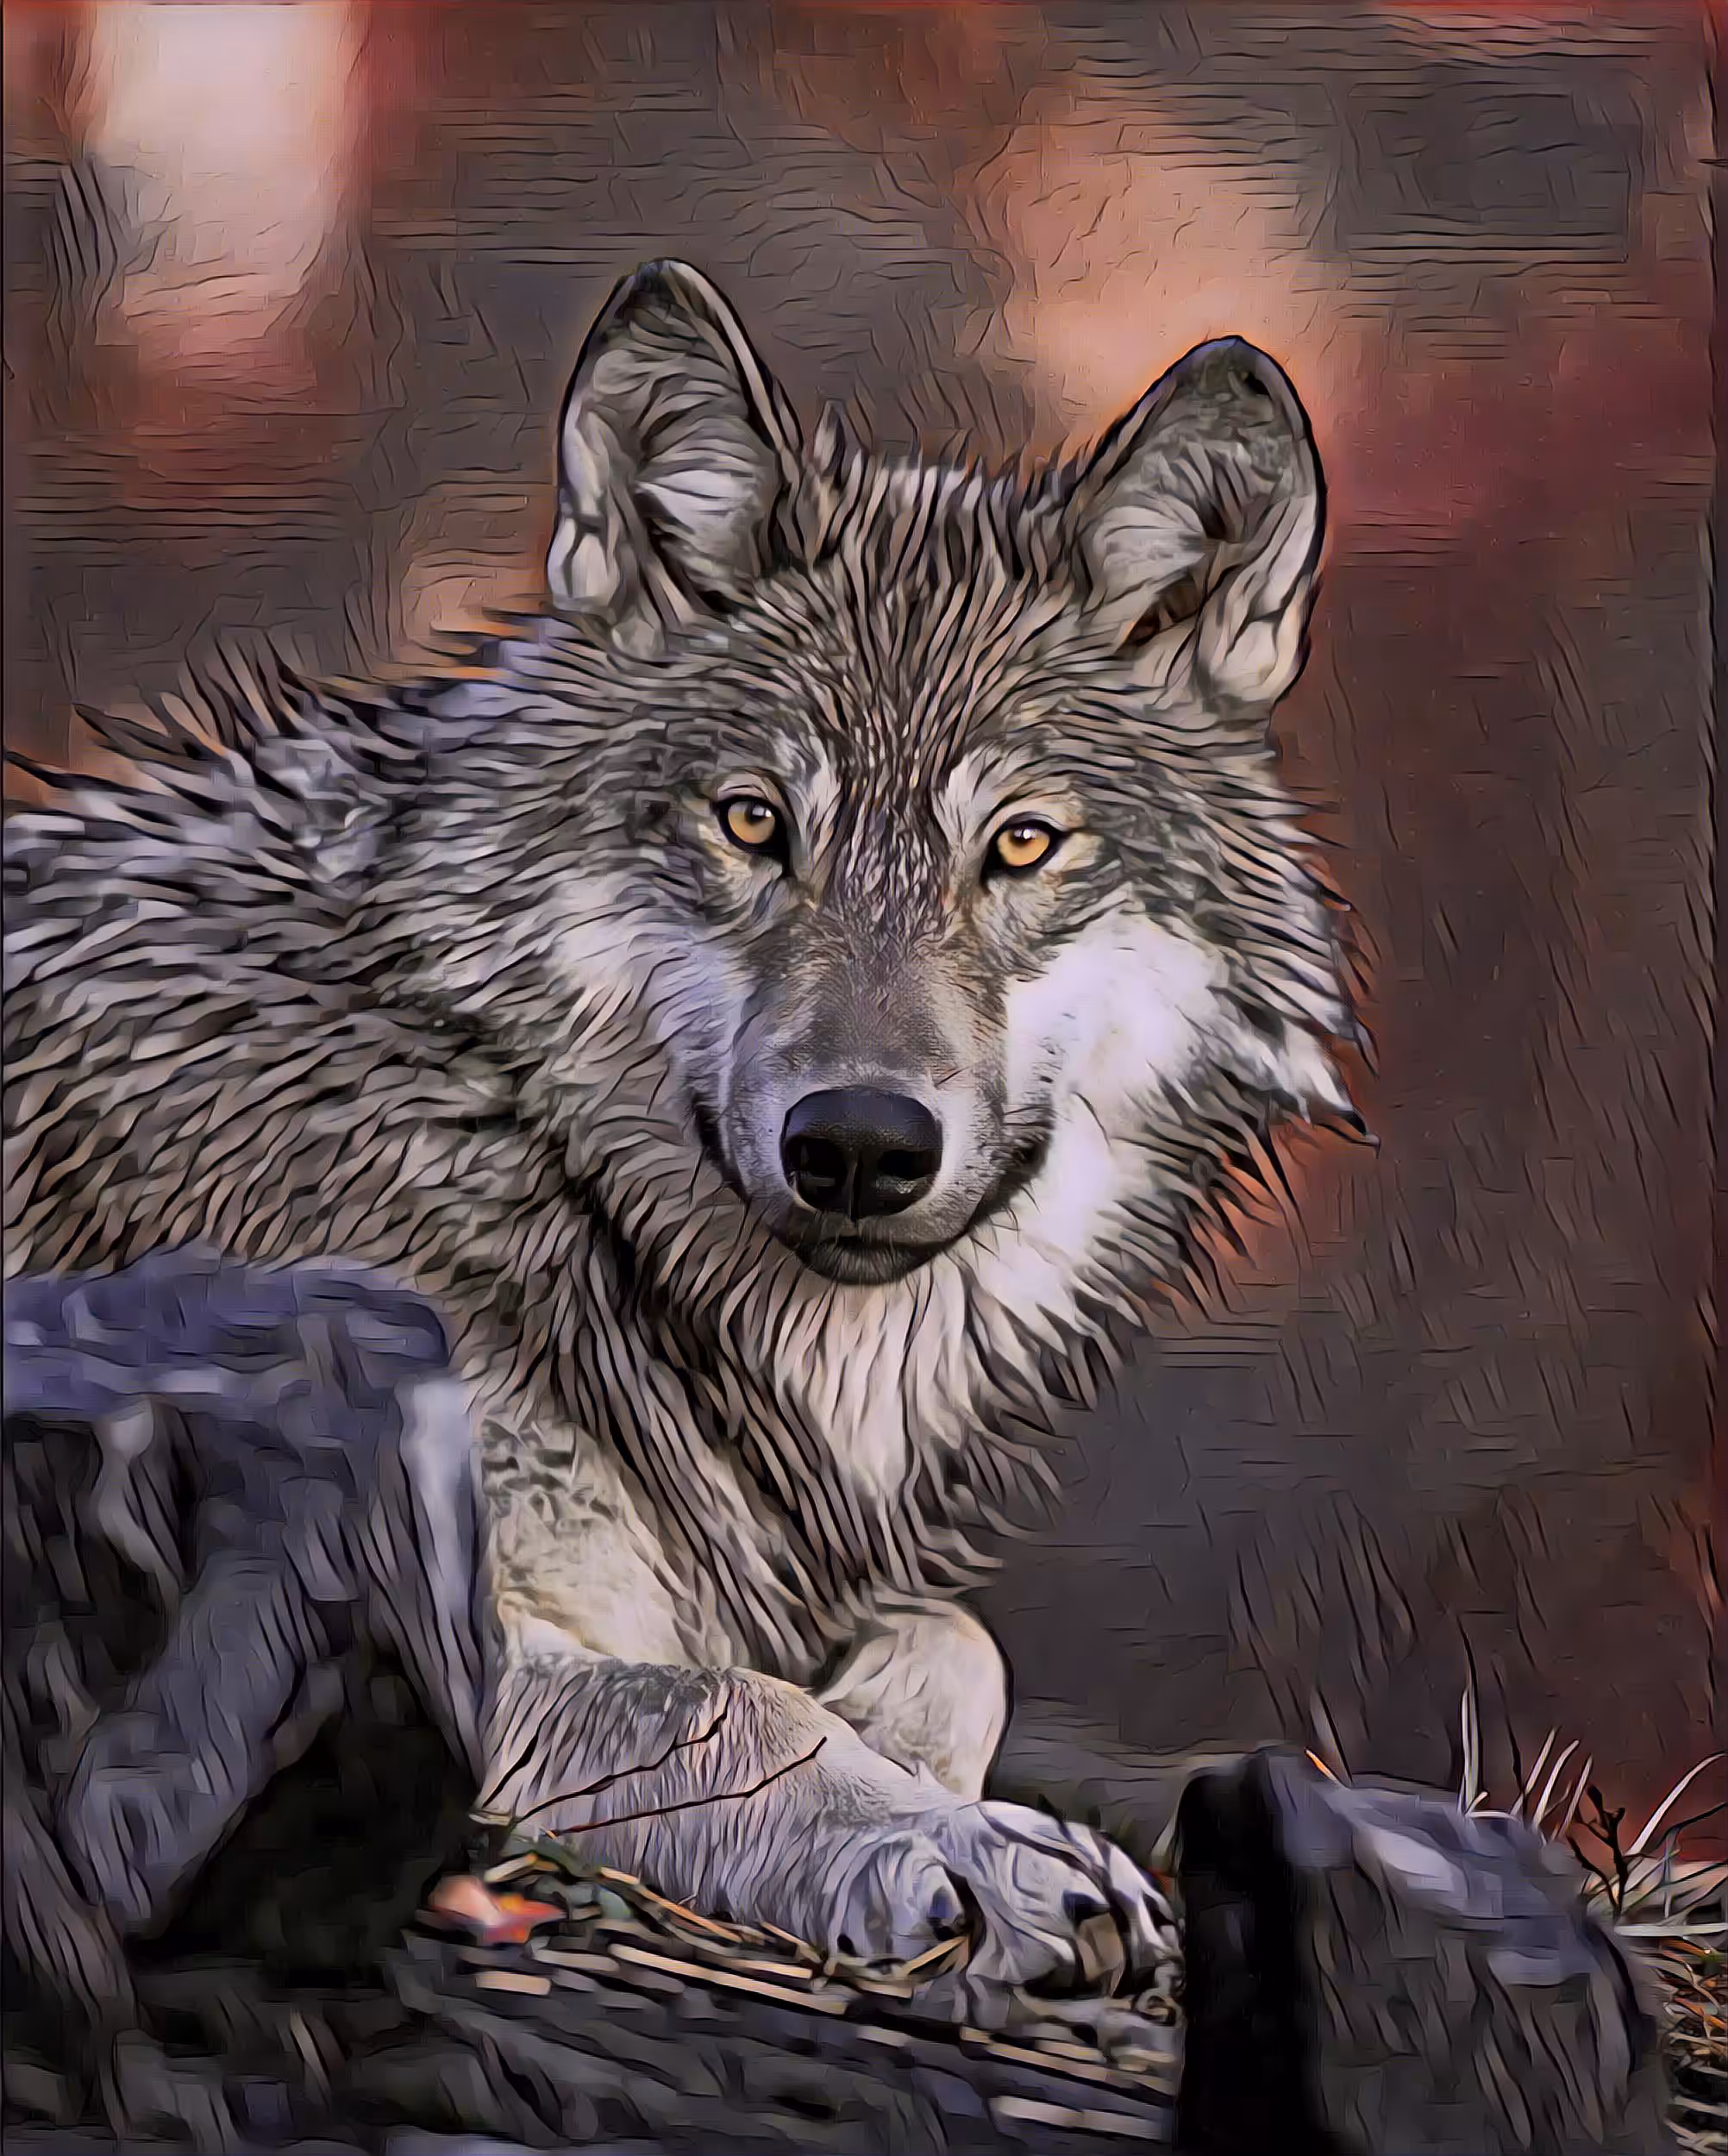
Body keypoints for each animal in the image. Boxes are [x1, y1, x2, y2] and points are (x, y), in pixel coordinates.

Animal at [4, 260, 1358, 1991]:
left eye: (1020, 845)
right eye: (753, 823)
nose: (860, 1144)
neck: (518, 1147)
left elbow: (953, 1645)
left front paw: (910, 1744)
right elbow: (727, 1702)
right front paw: (971, 1853)